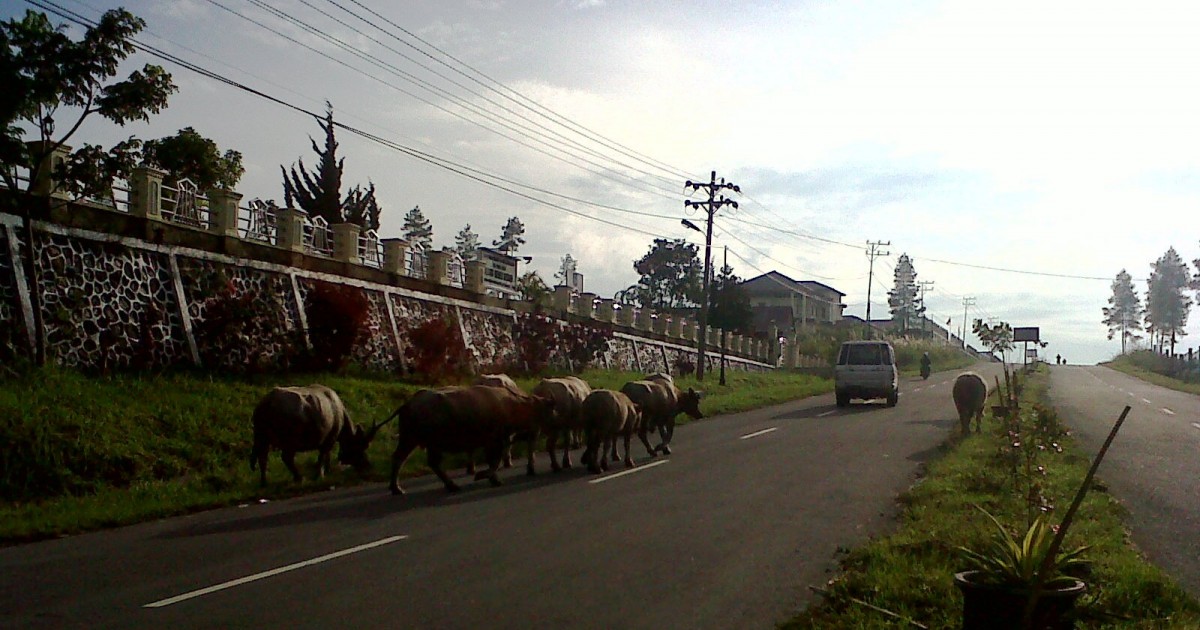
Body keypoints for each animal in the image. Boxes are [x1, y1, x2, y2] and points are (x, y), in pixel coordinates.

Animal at [248, 384, 384, 487]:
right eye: (360, 447)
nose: (367, 465)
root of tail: (267, 402)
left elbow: (326, 455)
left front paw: (327, 471)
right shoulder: (329, 438)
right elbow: (323, 456)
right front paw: (320, 474)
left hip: (261, 436)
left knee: (262, 457)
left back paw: (264, 482)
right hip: (290, 439)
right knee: (286, 457)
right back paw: (298, 477)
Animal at [386, 381, 554, 494]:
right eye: (543, 408)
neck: (510, 405)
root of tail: (409, 403)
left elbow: (494, 462)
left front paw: (492, 478)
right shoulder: (495, 441)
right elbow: (495, 462)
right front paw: (487, 476)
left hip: (410, 440)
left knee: (400, 459)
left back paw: (397, 488)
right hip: (426, 442)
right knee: (425, 462)